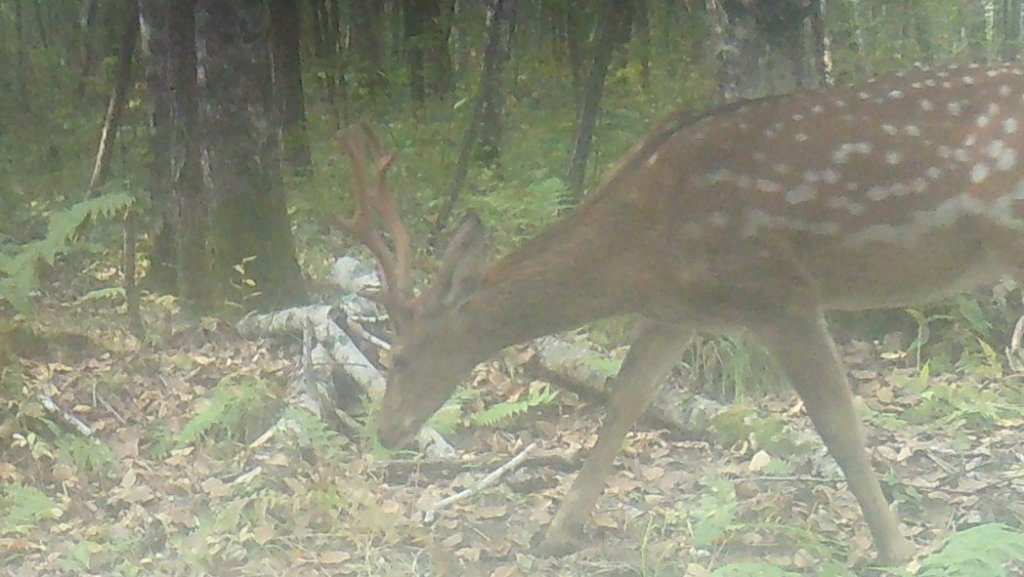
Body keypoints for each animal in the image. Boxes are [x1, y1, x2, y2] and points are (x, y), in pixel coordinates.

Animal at [337, 62, 1024, 565]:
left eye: (400, 357)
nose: (384, 431)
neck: (642, 247)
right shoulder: (678, 312)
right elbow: (624, 400)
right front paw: (554, 534)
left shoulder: (778, 292)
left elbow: (839, 423)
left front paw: (897, 549)